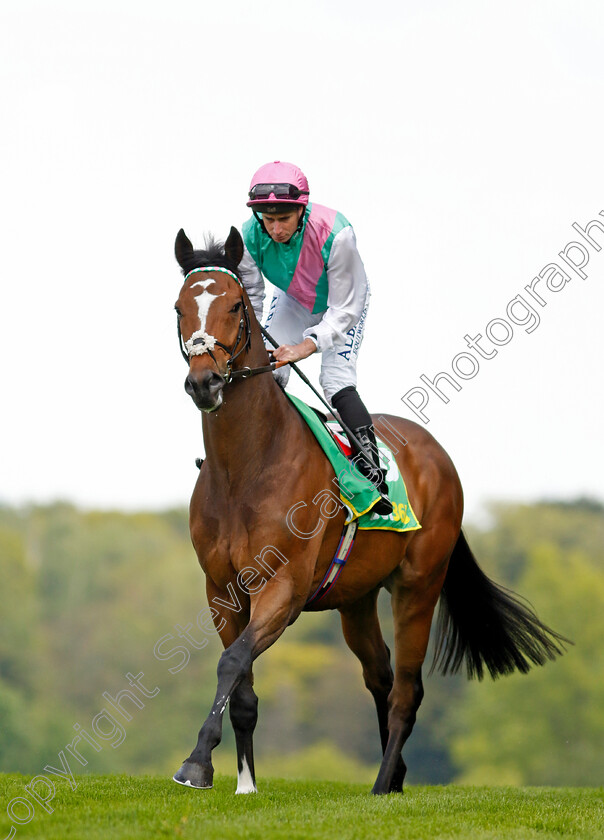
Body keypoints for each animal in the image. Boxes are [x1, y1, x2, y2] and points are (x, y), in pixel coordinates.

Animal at [172, 225, 568, 796]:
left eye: (234, 306)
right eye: (180, 307)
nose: (204, 382)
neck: (244, 467)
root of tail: (436, 453)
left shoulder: (284, 588)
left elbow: (232, 661)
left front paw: (197, 761)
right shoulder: (222, 590)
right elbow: (241, 682)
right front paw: (244, 784)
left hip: (419, 584)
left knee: (406, 689)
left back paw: (384, 785)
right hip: (355, 599)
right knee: (379, 676)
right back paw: (394, 776)